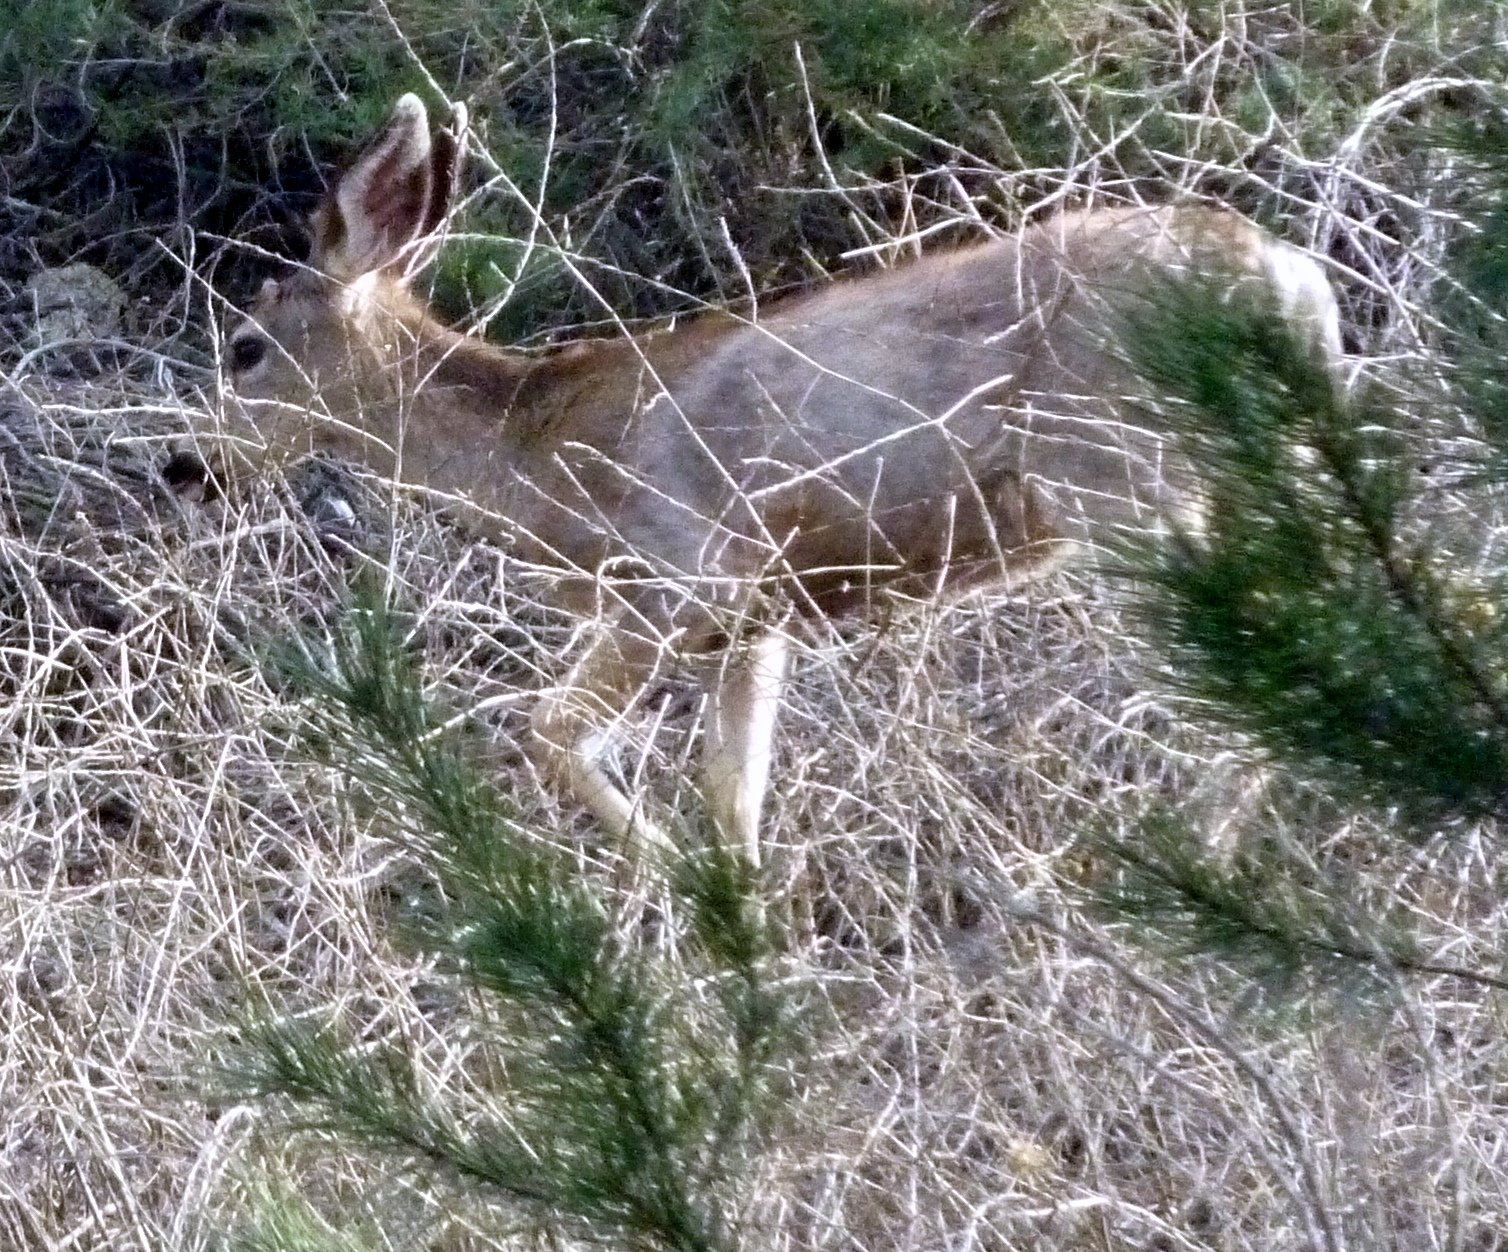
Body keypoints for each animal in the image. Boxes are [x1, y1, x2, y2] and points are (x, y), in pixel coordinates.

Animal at [224, 92, 1342, 866]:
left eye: (242, 350)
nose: (198, 463)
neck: (531, 454)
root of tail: (1291, 282)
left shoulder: (679, 575)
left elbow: (547, 731)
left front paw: (665, 880)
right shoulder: (756, 619)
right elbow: (734, 799)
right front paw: (746, 943)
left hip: (1129, 477)